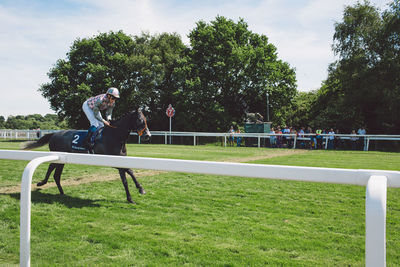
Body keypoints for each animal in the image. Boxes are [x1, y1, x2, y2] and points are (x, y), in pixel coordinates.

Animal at [23, 109, 152, 205]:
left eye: (146, 120)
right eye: (140, 120)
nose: (147, 136)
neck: (114, 136)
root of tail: (54, 134)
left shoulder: (121, 161)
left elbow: (126, 178)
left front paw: (131, 197)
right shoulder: (111, 161)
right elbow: (129, 171)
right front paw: (140, 189)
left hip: (62, 159)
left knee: (56, 175)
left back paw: (62, 192)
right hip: (58, 156)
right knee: (51, 167)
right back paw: (42, 183)